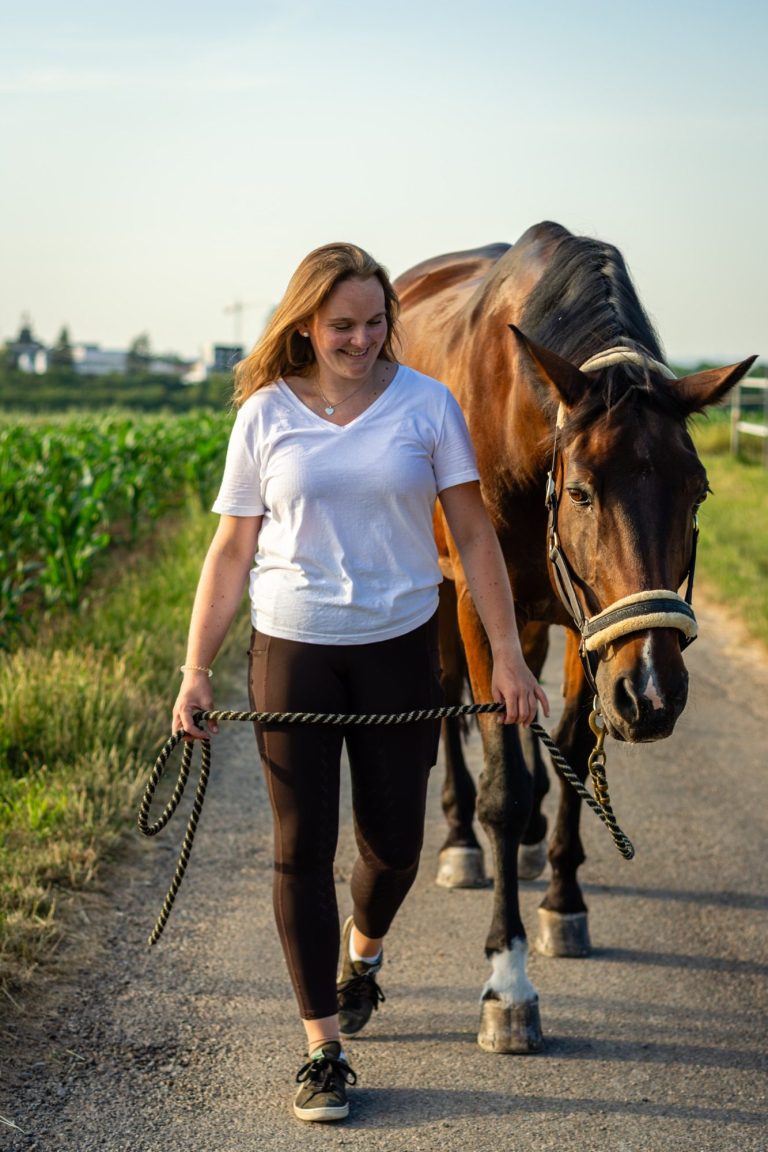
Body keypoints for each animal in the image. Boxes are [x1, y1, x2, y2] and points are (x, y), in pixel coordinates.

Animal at [394, 221, 756, 1054]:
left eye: (698, 492)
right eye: (585, 491)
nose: (653, 691)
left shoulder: (590, 629)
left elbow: (571, 751)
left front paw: (563, 899)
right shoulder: (479, 600)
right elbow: (501, 778)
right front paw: (508, 982)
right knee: (446, 699)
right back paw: (461, 842)